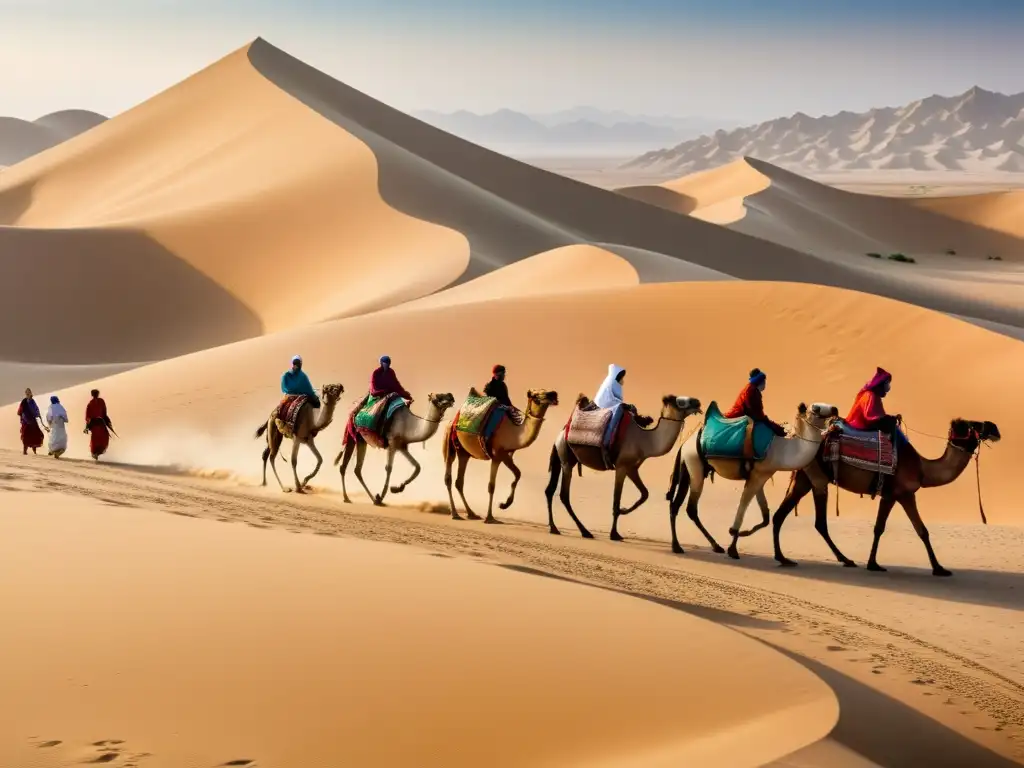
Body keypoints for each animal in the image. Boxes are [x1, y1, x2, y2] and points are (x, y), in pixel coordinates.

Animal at [442, 387, 561, 528]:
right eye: (535, 395)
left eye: (547, 390)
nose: (553, 394)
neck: (514, 433)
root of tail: (452, 421)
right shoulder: (496, 456)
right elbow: (491, 486)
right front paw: (490, 518)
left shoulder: (506, 456)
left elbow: (518, 474)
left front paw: (504, 504)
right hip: (450, 442)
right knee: (448, 476)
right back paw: (455, 514)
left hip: (464, 452)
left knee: (459, 482)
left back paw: (472, 514)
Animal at [544, 397, 704, 540]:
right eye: (681, 402)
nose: (698, 402)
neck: (646, 440)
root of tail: (560, 434)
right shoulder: (621, 466)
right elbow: (616, 500)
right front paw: (614, 534)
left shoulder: (632, 468)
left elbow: (644, 494)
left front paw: (624, 510)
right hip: (566, 459)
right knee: (564, 495)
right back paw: (584, 531)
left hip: (563, 457)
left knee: (550, 490)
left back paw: (554, 528)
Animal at [663, 403, 839, 561]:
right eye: (816, 408)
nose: (835, 409)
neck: (781, 450)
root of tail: (685, 443)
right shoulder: (757, 475)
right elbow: (742, 510)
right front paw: (733, 547)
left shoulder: (760, 476)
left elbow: (765, 516)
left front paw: (743, 534)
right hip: (695, 466)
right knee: (689, 508)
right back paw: (679, 547)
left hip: (688, 468)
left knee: (678, 505)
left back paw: (711, 546)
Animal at [770, 421, 1003, 577]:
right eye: (973, 424)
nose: (994, 428)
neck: (922, 469)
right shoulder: (897, 493)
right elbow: (884, 528)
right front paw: (874, 564)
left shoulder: (902, 495)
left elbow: (920, 530)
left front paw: (938, 567)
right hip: (816, 475)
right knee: (818, 521)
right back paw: (844, 559)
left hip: (803, 476)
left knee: (783, 515)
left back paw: (785, 558)